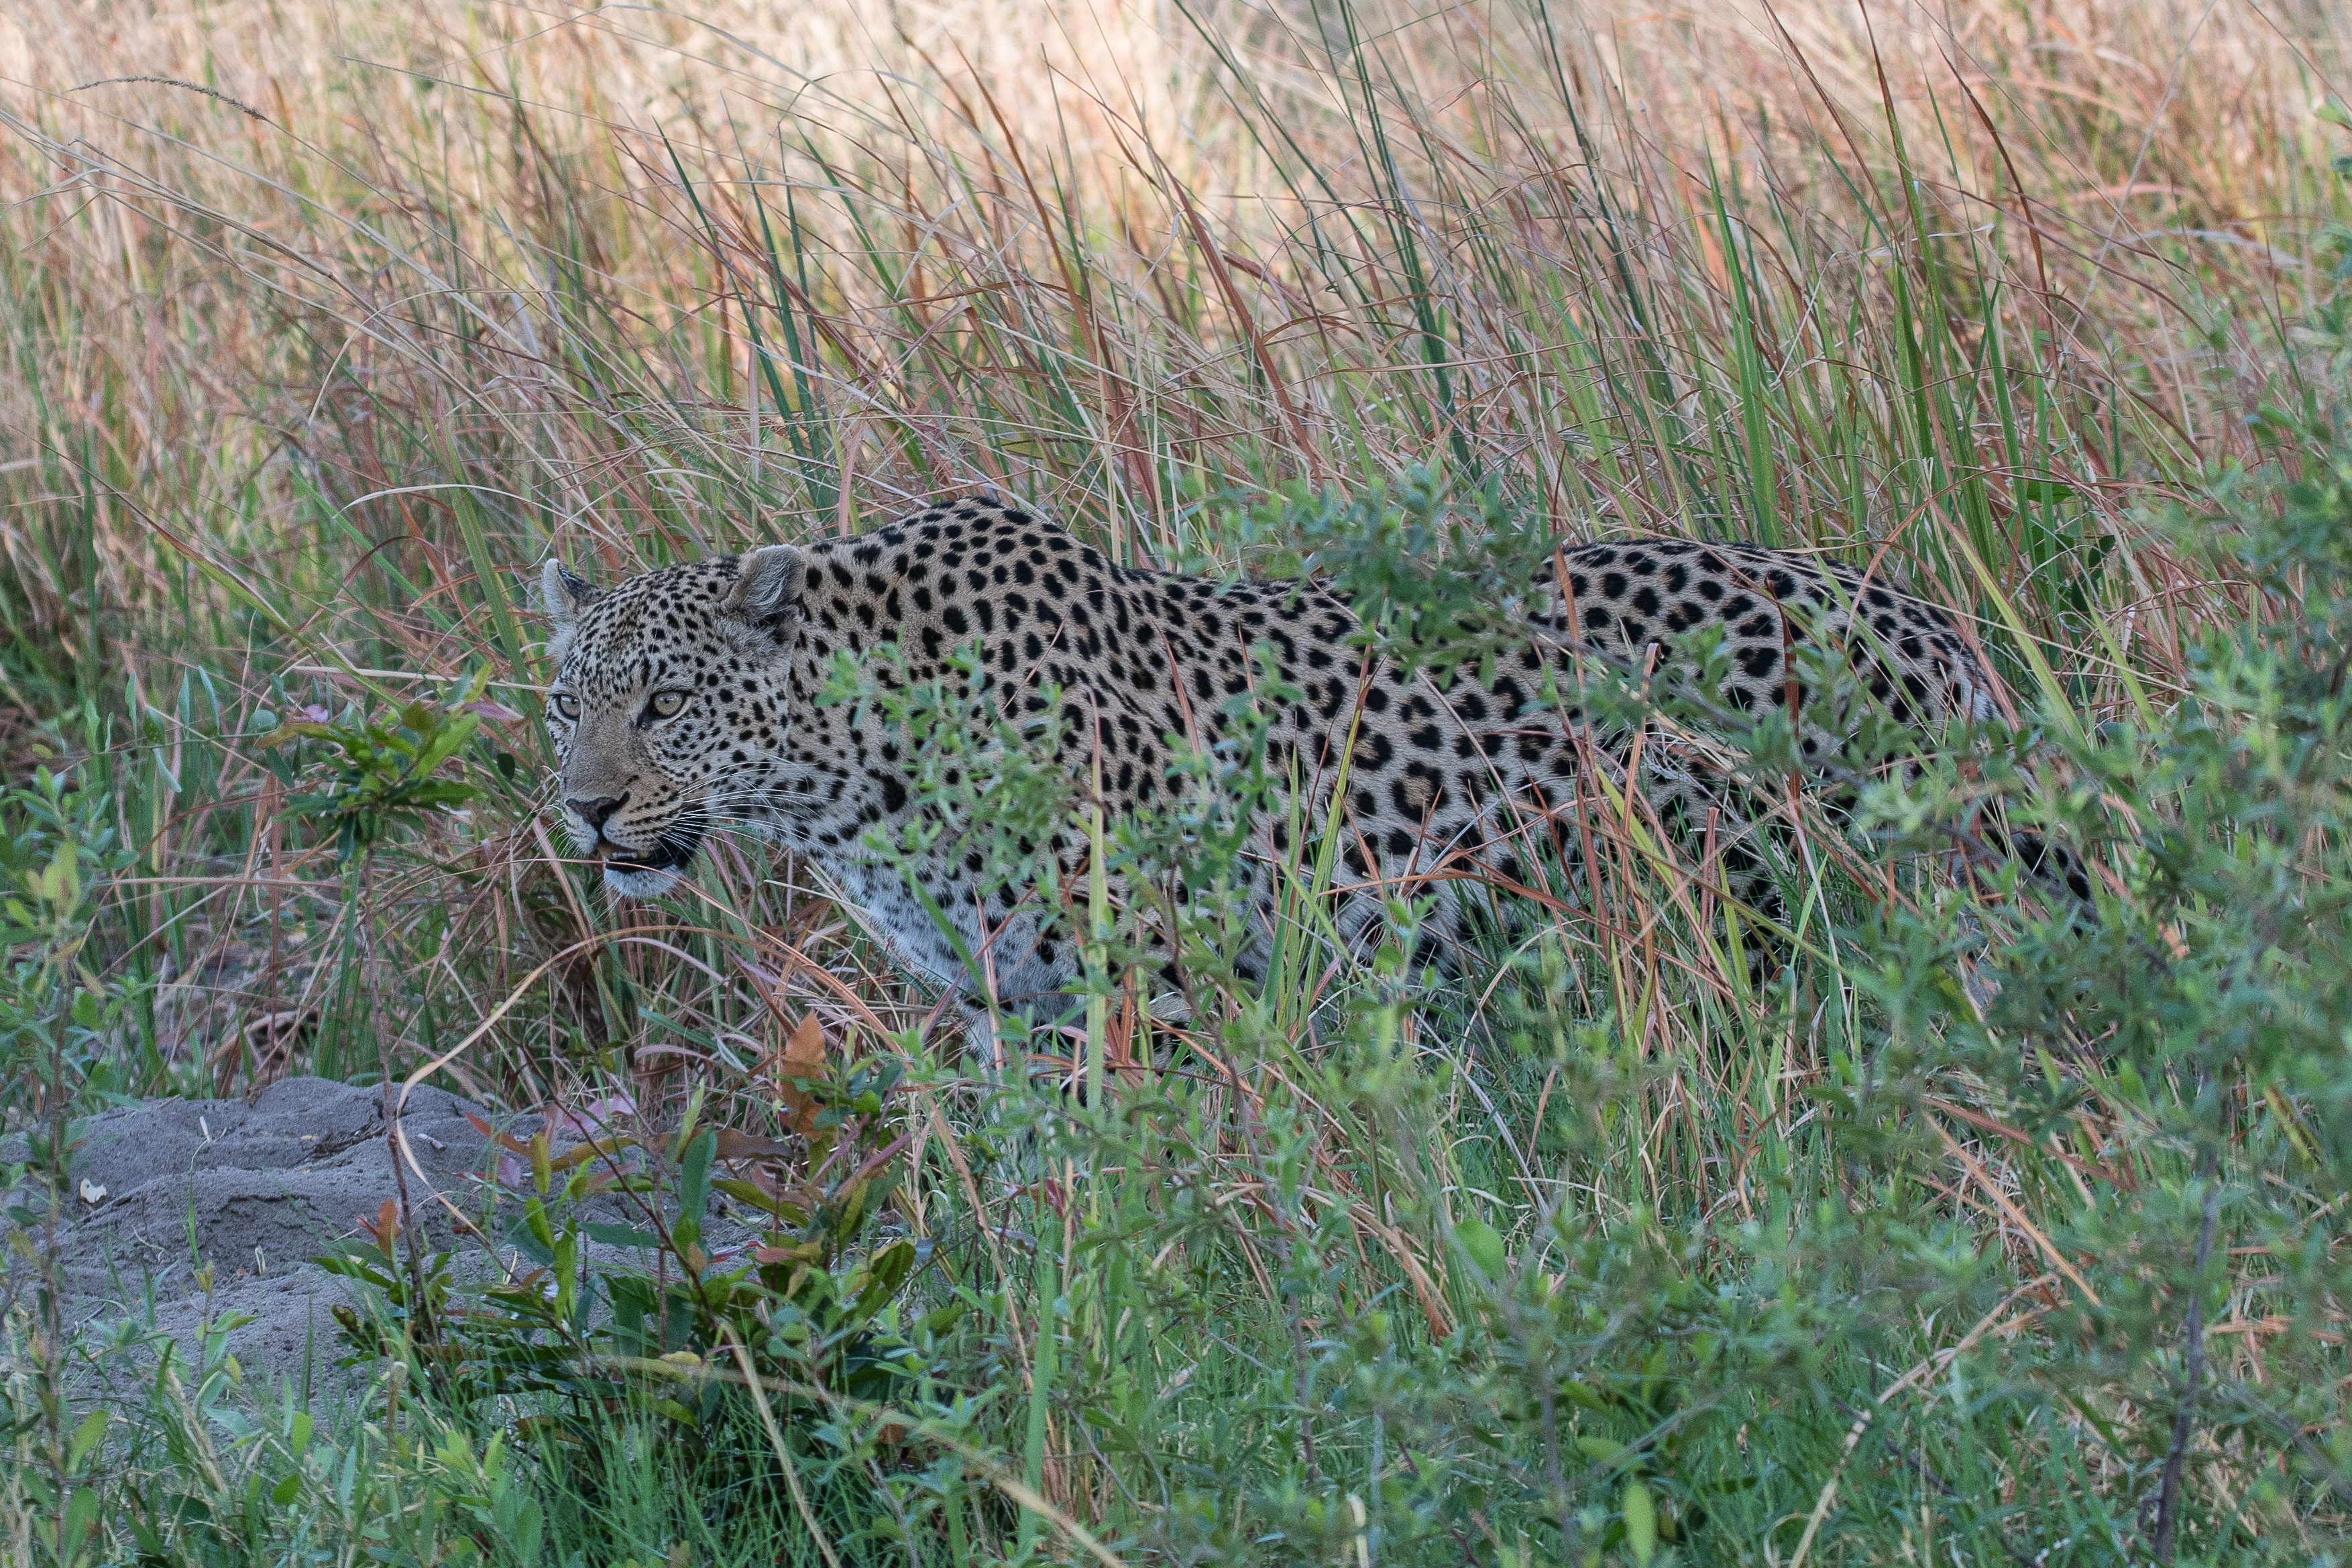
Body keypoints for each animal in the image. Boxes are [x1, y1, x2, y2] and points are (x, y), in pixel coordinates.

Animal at [541, 494, 2088, 1029]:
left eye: (665, 703)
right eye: (565, 704)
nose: (589, 808)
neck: (848, 787)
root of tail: (1919, 615)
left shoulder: (1137, 984)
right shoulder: (1004, 1006)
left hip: (1793, 906)